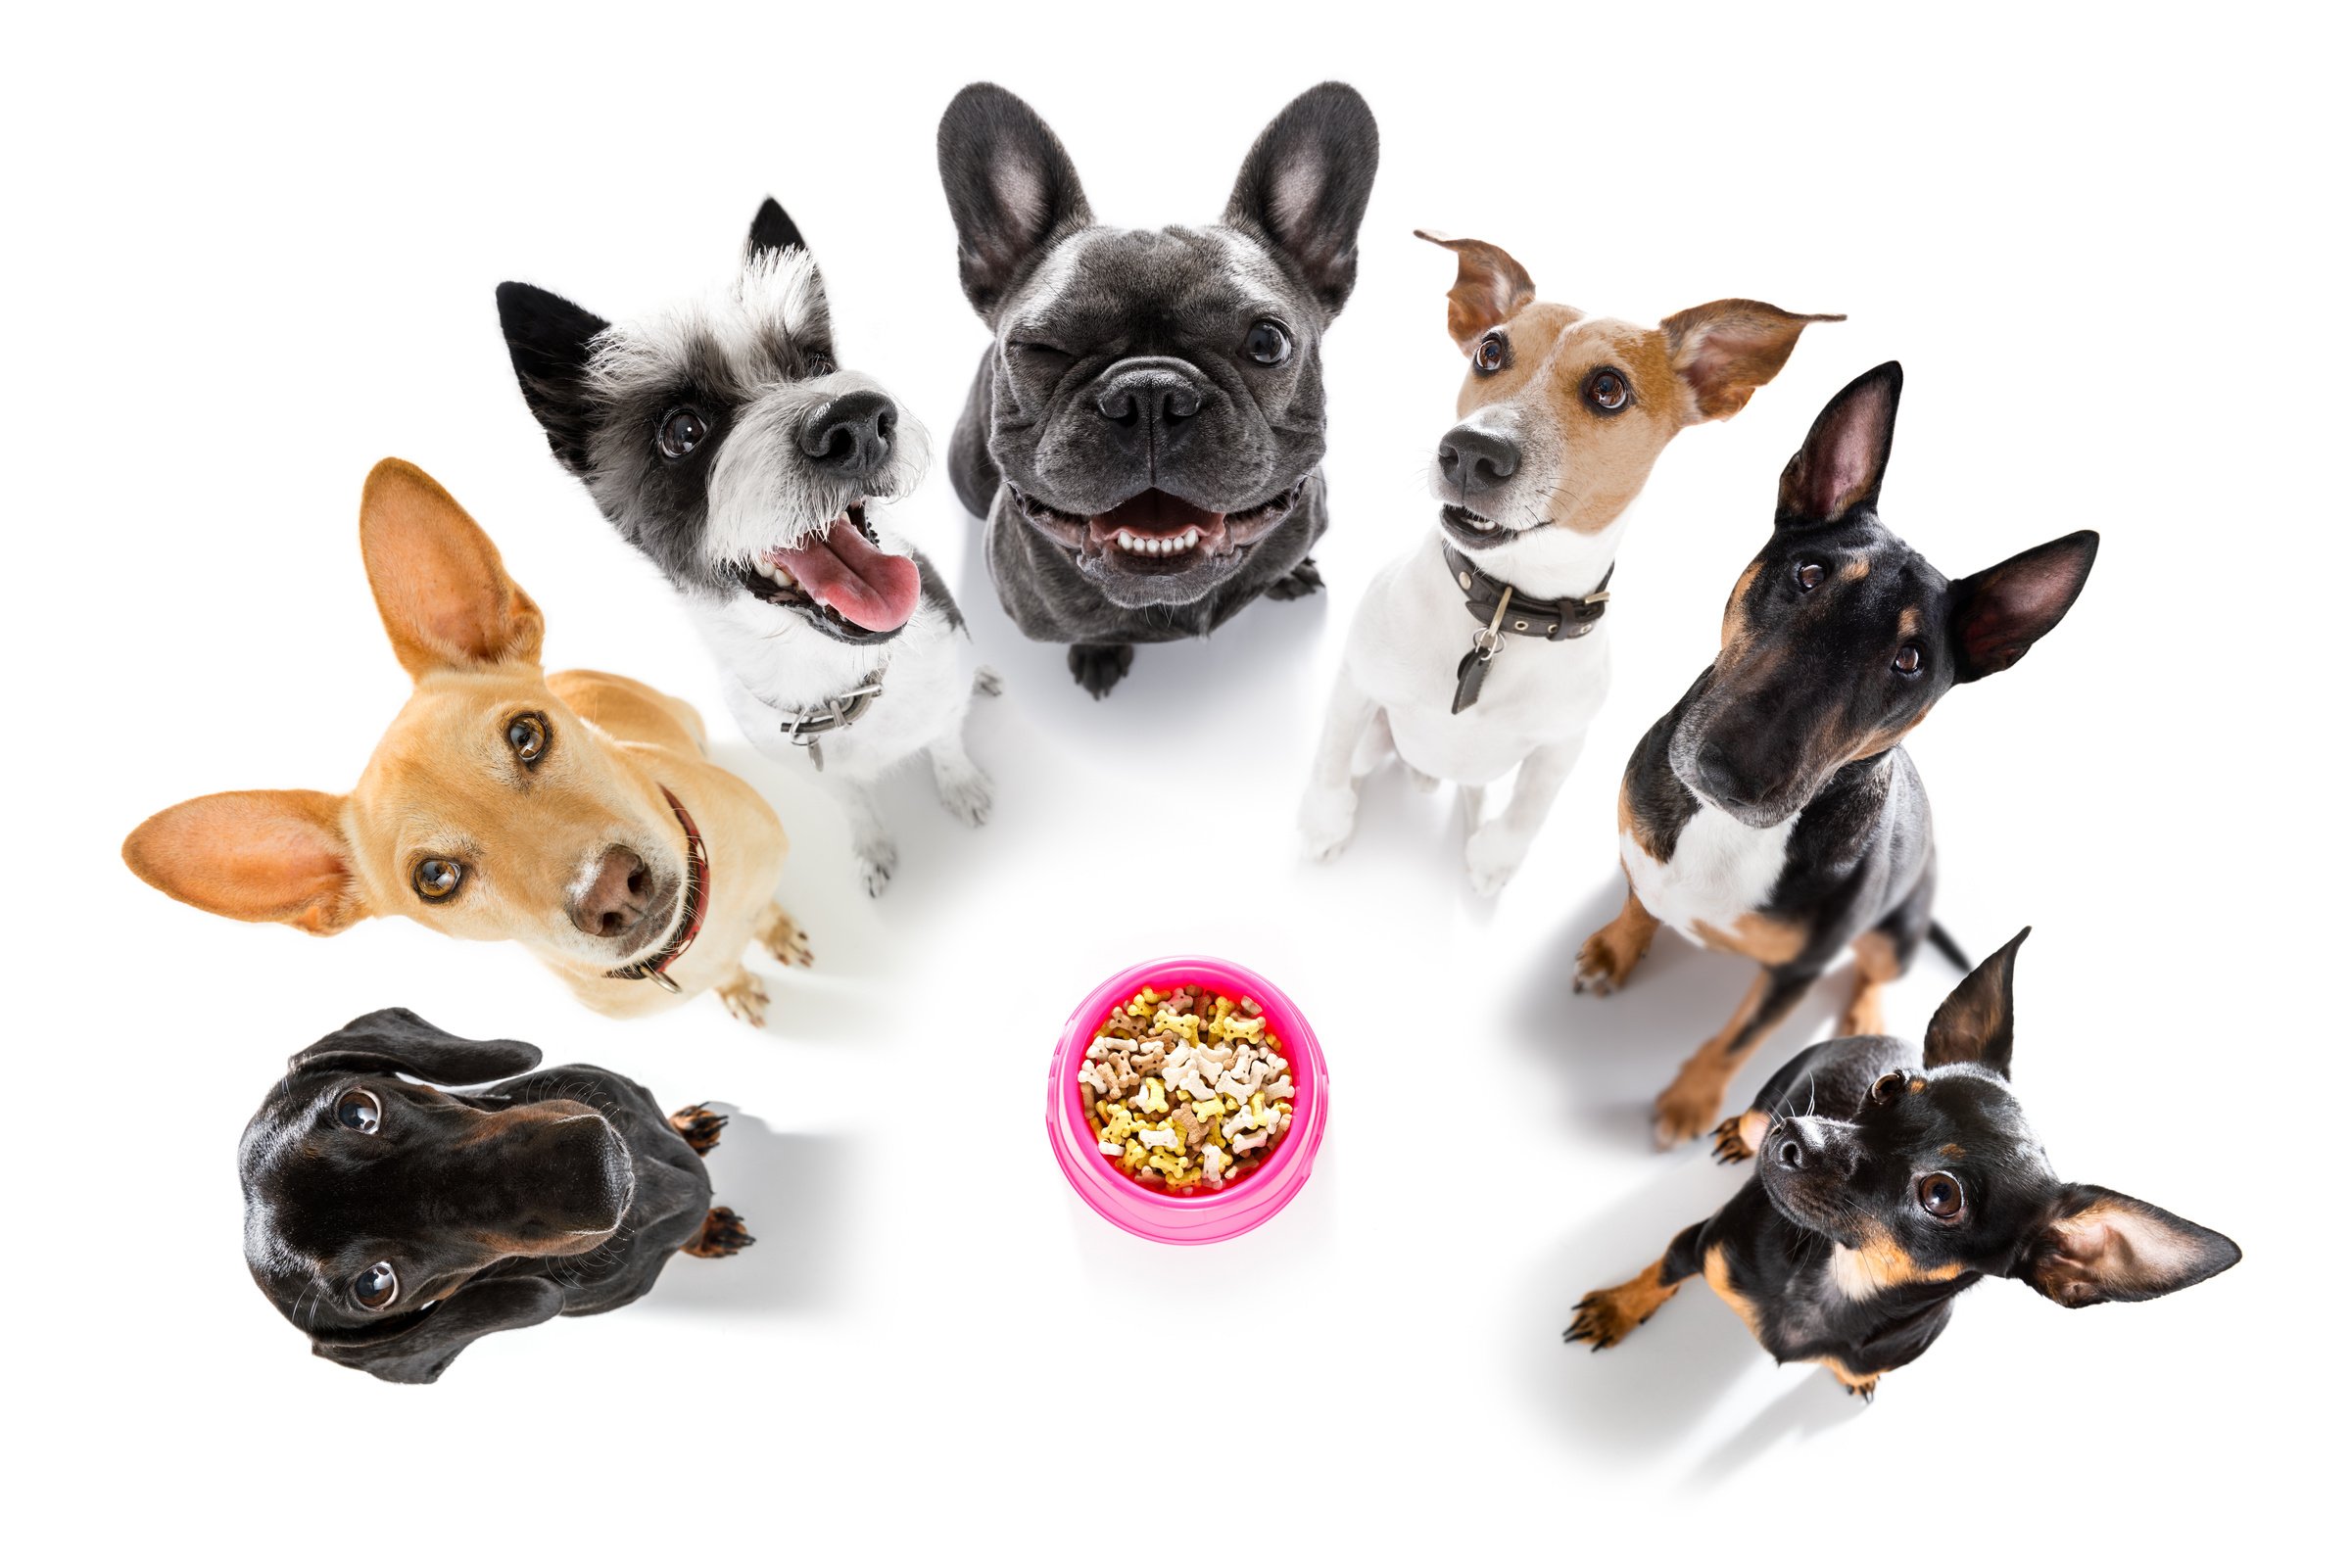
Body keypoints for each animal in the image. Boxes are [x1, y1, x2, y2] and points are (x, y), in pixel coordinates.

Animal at [126, 460, 808, 1024]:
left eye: (526, 734)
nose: (608, 888)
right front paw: (738, 982)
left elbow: (767, 913)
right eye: (436, 877)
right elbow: (729, 971)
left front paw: (775, 930)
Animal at [1307, 232, 1834, 893]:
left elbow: (1527, 811)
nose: (1469, 452)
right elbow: (1330, 760)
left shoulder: (1560, 749)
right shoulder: (1356, 685)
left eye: (1608, 389)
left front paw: (1494, 860)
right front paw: (1325, 824)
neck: (1503, 610)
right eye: (1489, 352)